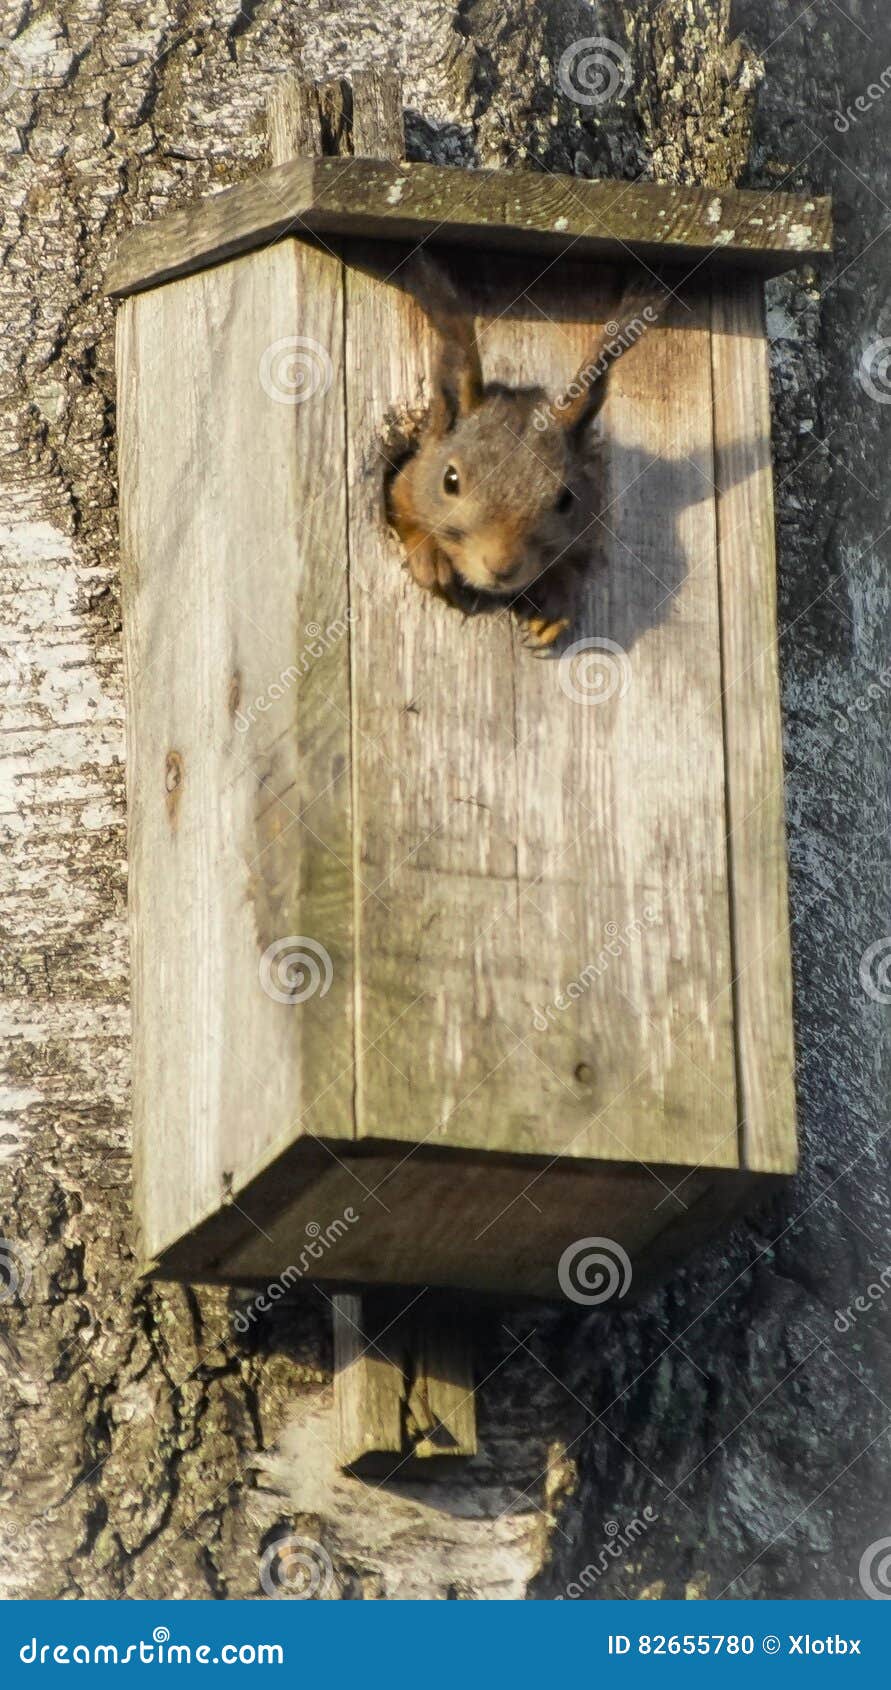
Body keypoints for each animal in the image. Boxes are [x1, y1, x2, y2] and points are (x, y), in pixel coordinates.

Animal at [387, 256, 666, 645]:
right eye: (450, 480)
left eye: (566, 500)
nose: (502, 567)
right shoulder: (404, 485)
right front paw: (429, 554)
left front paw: (553, 603)